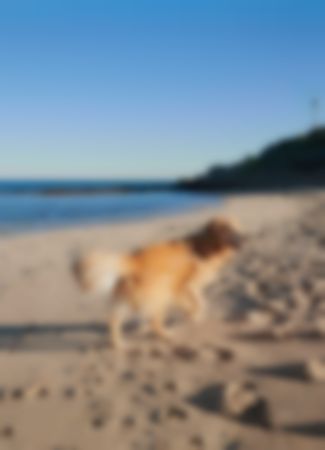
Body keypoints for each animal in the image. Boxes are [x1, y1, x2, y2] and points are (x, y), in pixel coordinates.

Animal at [71, 218, 243, 348]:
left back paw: (119, 343)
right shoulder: (185, 286)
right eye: (226, 229)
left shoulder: (182, 289)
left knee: (114, 320)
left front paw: (193, 315)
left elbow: (196, 303)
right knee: (154, 322)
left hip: (129, 299)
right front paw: (194, 315)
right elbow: (198, 303)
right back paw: (165, 335)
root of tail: (133, 262)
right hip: (161, 294)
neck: (204, 246)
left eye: (237, 228)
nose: (243, 238)